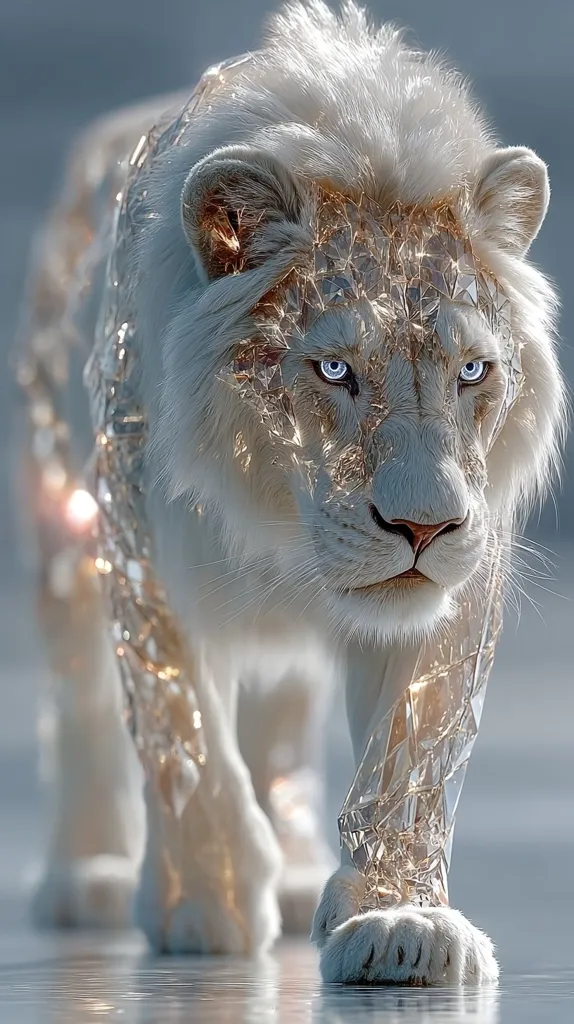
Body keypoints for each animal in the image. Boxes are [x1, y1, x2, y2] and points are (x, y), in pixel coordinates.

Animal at [19, 0, 565, 986]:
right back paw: (92, 876)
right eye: (334, 368)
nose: (423, 526)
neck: (279, 518)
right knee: (82, 702)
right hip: (59, 527)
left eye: (473, 370)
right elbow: (182, 732)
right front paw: (204, 900)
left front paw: (401, 924)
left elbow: (408, 758)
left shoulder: (454, 581)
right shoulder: (137, 543)